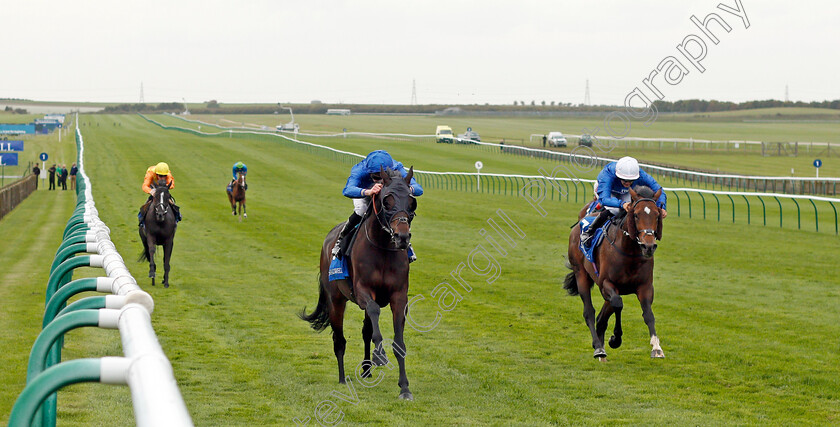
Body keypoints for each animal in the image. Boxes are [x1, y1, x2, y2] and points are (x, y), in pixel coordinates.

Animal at [568, 187, 668, 362]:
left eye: (657, 215)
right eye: (636, 214)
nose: (649, 246)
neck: (629, 252)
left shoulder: (645, 287)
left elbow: (648, 314)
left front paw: (656, 347)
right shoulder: (606, 284)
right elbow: (618, 304)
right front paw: (615, 339)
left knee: (601, 318)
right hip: (581, 274)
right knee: (589, 312)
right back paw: (599, 348)